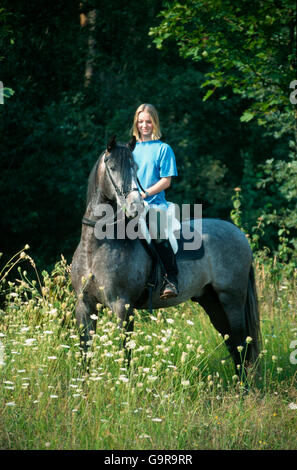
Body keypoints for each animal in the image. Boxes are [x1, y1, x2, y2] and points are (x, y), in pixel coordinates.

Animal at [71, 136, 260, 378]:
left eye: (134, 167)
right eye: (112, 167)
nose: (135, 205)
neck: (97, 247)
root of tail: (239, 234)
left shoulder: (122, 306)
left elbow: (125, 354)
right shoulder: (84, 305)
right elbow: (85, 352)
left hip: (232, 299)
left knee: (241, 344)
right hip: (212, 302)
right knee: (233, 345)